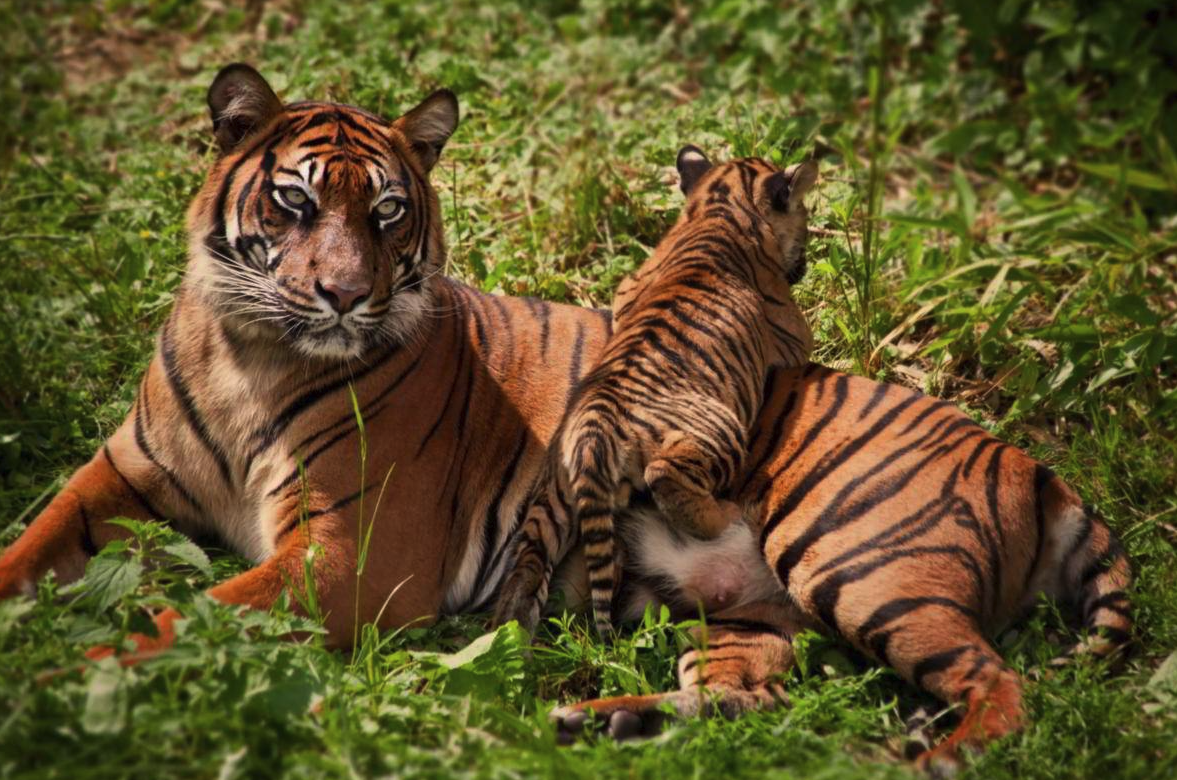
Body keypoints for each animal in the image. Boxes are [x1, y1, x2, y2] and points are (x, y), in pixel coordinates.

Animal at [489, 148, 819, 640]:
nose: (805, 263)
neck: (719, 207)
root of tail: (592, 430)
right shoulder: (794, 335)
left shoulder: (628, 286)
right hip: (719, 431)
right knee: (666, 477)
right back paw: (725, 516)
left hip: (554, 500)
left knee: (527, 564)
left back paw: (509, 637)